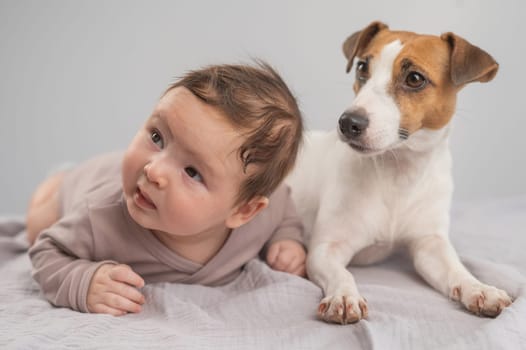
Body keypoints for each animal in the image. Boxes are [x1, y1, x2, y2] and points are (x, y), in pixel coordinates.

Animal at [288, 20, 516, 324]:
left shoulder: (429, 245)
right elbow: (342, 273)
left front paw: (480, 288)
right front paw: (344, 296)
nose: (348, 122)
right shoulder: (325, 249)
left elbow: (457, 269)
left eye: (415, 78)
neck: (398, 173)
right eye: (362, 67)